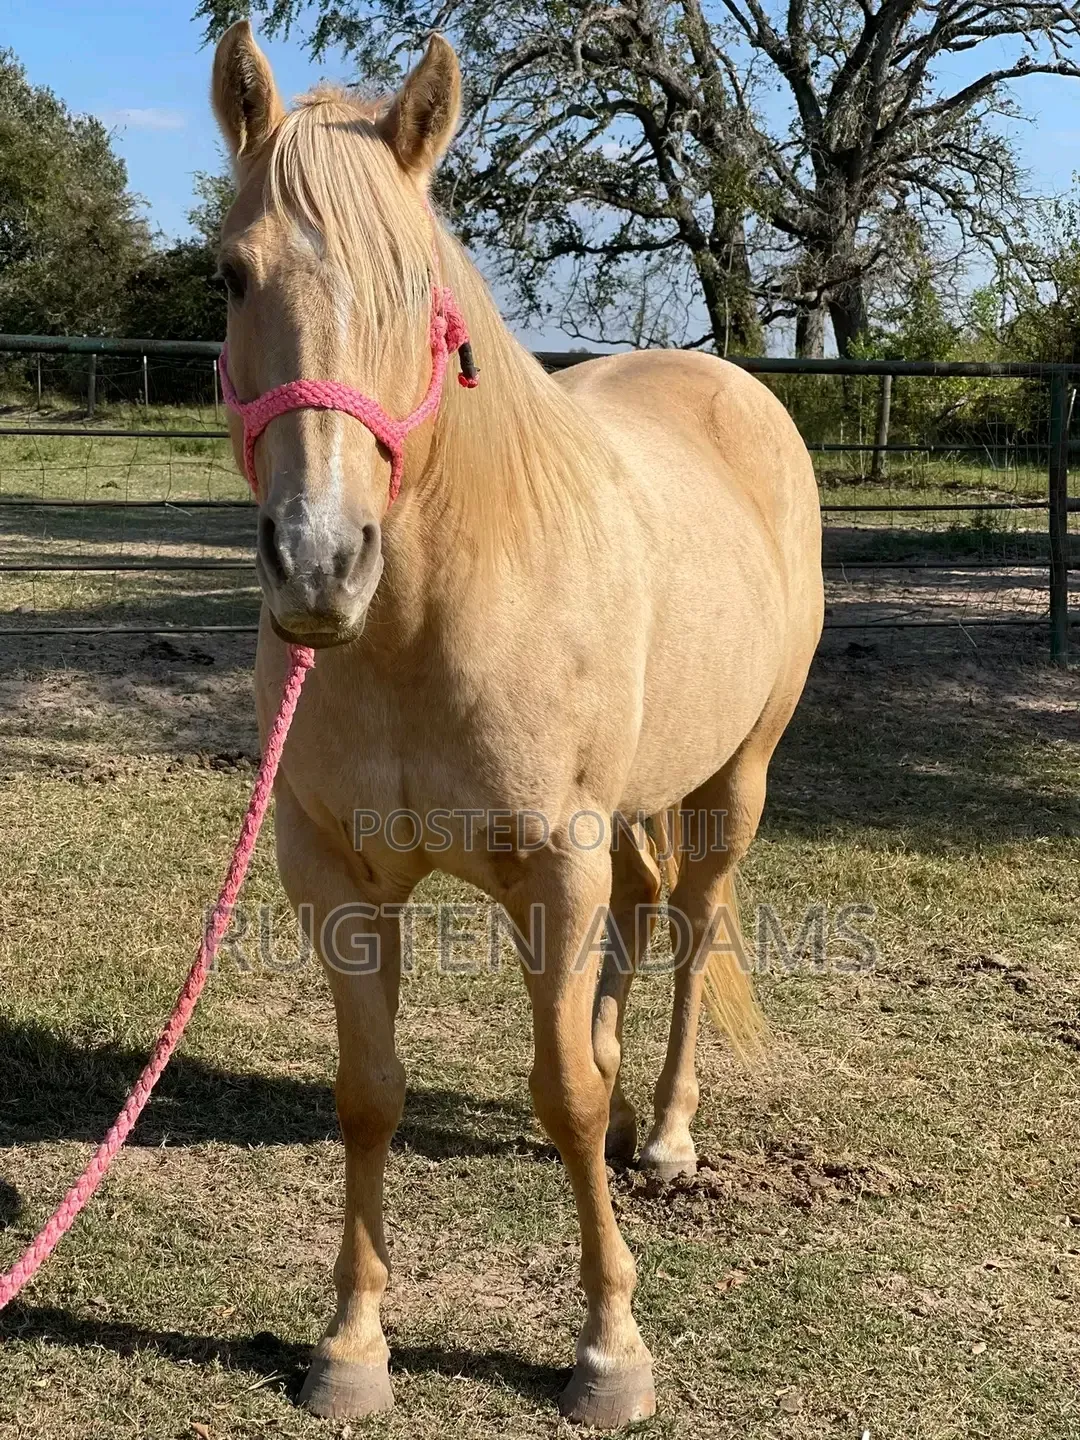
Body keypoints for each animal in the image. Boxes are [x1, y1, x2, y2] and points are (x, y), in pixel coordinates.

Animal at [210, 21, 823, 1428]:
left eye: (418, 291)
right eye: (229, 276)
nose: (319, 564)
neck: (421, 623)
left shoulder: (554, 861)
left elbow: (568, 1103)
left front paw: (610, 1350)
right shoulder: (333, 873)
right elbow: (369, 1095)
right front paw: (352, 1347)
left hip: (734, 785)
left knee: (692, 935)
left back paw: (668, 1132)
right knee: (638, 922)